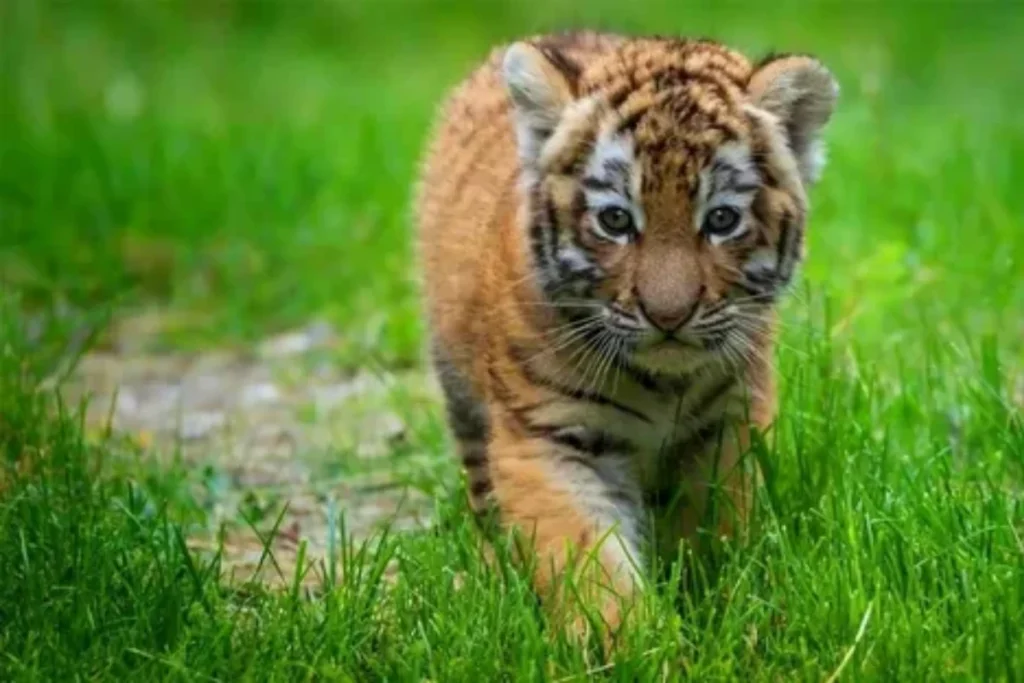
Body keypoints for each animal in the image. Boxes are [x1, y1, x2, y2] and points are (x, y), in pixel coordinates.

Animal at [414, 30, 838, 640]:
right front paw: (633, 644)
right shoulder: (547, 436)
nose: (668, 315)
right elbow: (590, 564)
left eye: (722, 220)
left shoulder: (726, 425)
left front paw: (722, 609)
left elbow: (717, 530)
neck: (662, 383)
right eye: (615, 221)